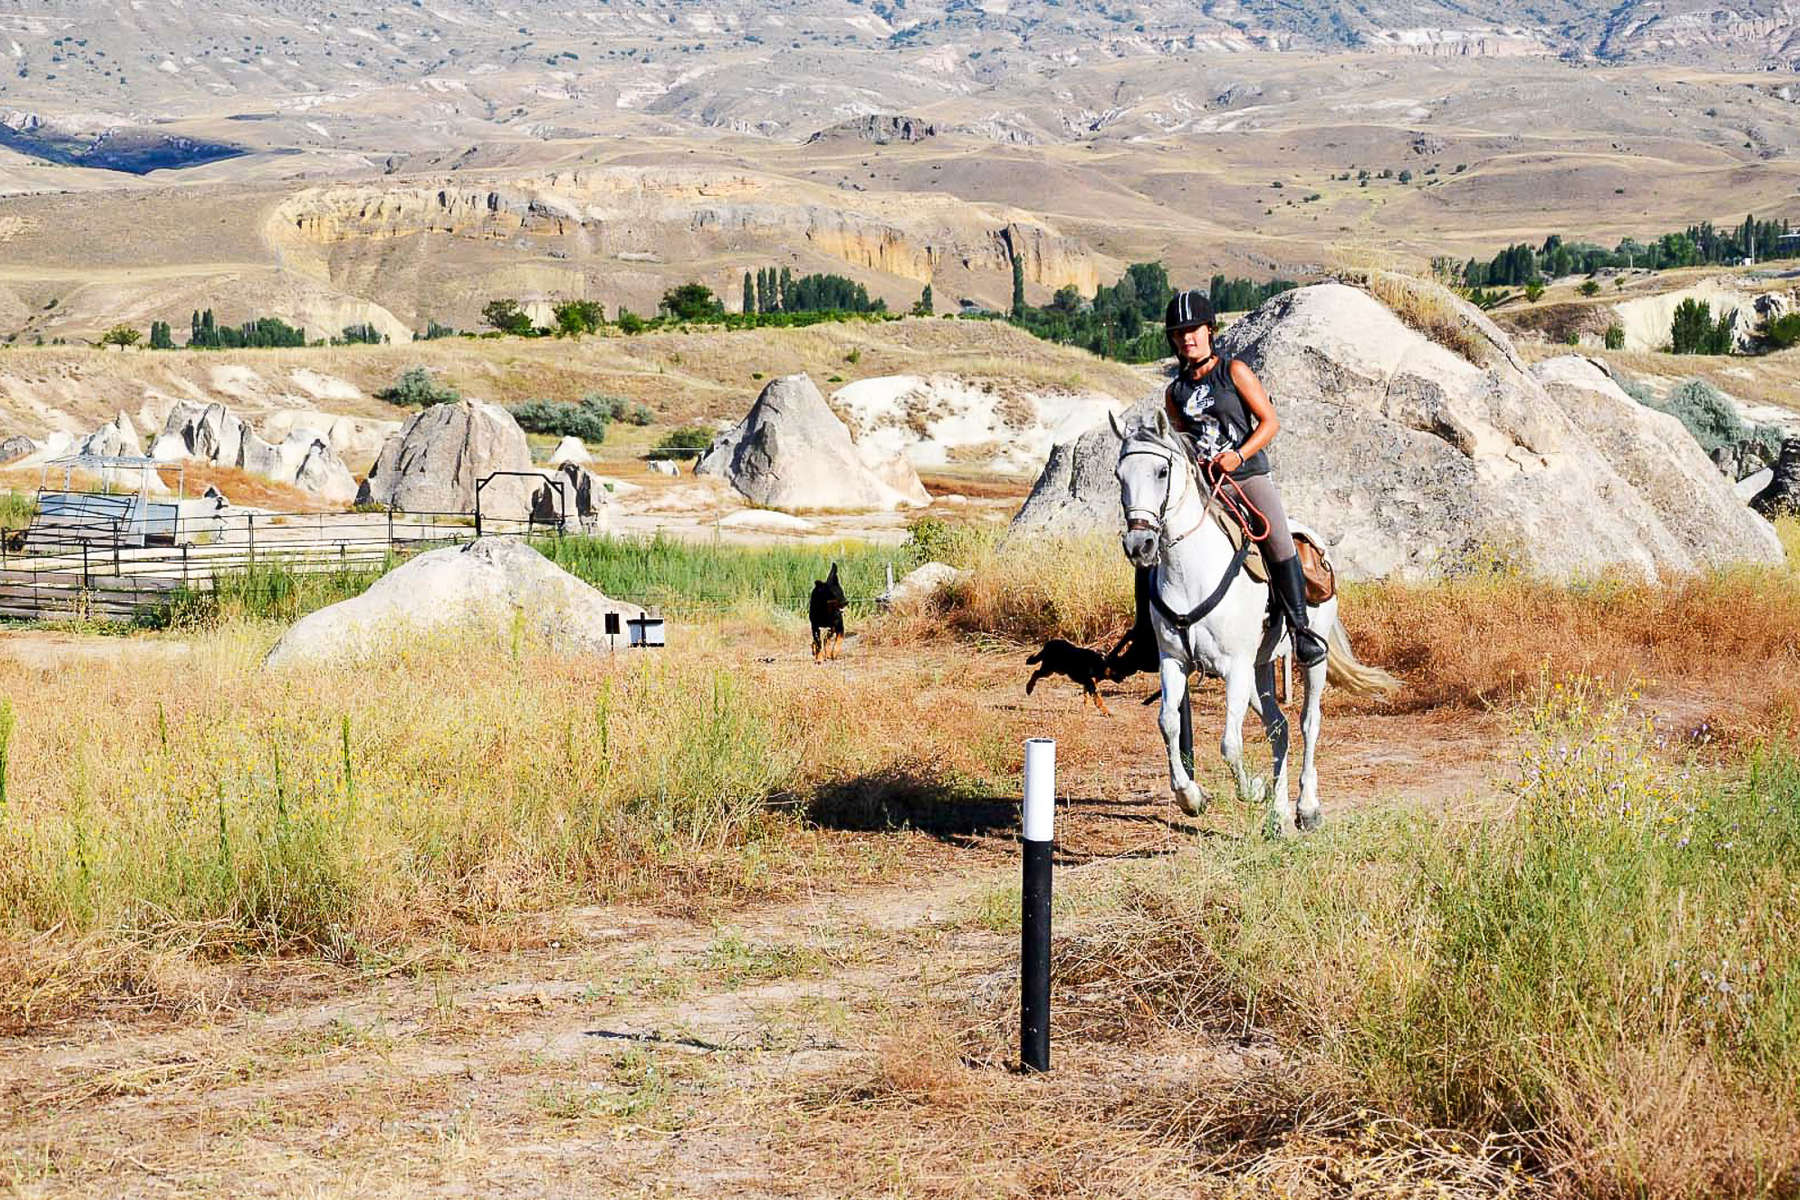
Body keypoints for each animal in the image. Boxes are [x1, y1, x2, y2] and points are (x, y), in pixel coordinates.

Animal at [1116, 408, 1396, 841]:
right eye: (1119, 475)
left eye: (1162, 471)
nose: (1139, 545)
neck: (1192, 570)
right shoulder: (1174, 662)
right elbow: (1168, 724)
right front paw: (1192, 797)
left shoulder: (1234, 667)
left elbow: (1230, 744)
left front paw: (1252, 790)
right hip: (1261, 667)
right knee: (1278, 727)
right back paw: (1279, 817)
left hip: (1308, 660)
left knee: (1308, 723)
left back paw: (1307, 808)